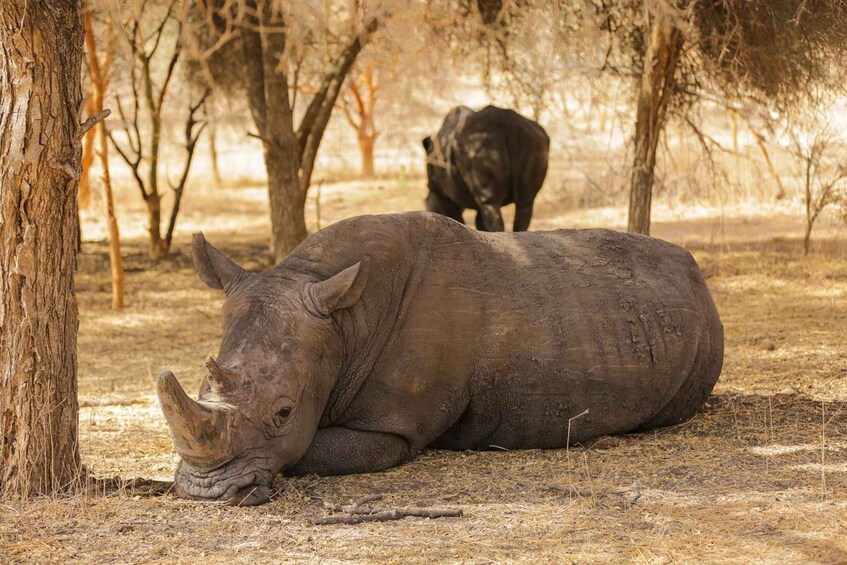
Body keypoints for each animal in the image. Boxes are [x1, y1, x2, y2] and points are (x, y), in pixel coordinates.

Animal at [158, 212, 723, 505]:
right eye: (204, 386)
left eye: (284, 412)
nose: (205, 492)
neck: (343, 322)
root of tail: (694, 268)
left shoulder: (391, 430)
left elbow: (305, 450)